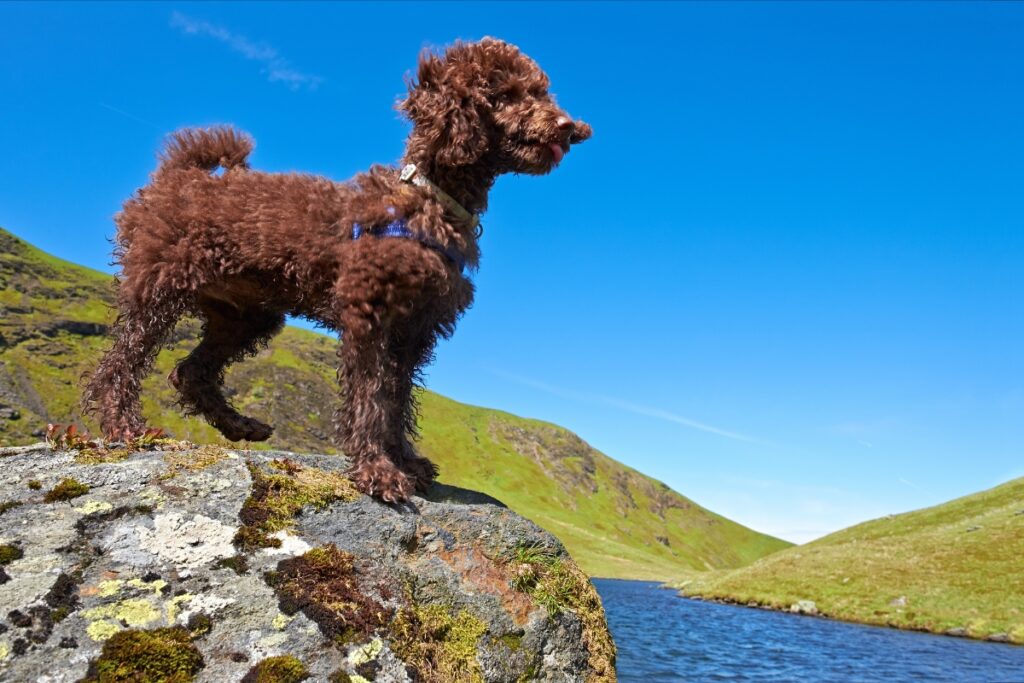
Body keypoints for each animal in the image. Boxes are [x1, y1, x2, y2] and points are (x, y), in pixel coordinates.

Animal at [81, 37, 593, 501]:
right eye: (505, 94)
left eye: (541, 91)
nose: (569, 126)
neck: (429, 197)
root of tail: (178, 176)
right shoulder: (368, 315)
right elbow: (370, 397)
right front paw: (377, 473)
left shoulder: (414, 330)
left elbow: (396, 401)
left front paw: (404, 460)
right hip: (159, 288)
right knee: (120, 364)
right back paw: (124, 426)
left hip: (245, 316)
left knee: (191, 373)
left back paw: (240, 424)